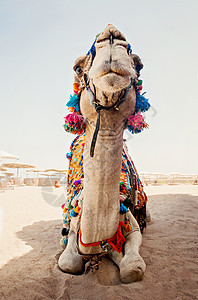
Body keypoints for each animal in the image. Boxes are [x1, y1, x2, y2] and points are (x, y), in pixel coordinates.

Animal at [58, 24, 150, 282]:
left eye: (138, 65)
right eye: (78, 67)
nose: (111, 34)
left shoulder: (130, 223)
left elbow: (133, 268)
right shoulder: (73, 227)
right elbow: (69, 262)